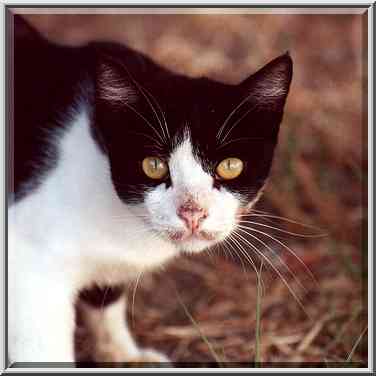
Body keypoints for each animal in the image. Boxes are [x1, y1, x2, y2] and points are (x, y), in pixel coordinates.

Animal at [7, 14, 292, 364]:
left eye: (230, 165)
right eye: (153, 165)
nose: (192, 212)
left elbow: (105, 297)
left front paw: (122, 354)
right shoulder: (27, 258)